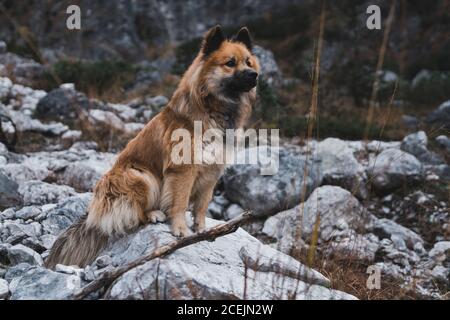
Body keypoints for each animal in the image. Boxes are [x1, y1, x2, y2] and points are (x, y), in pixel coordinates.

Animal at [45, 26, 260, 268]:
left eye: (249, 62)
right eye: (230, 63)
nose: (253, 75)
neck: (214, 110)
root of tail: (94, 214)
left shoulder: (212, 171)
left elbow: (201, 206)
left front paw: (202, 230)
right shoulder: (183, 170)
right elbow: (179, 202)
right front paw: (181, 230)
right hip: (141, 176)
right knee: (132, 214)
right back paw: (153, 214)